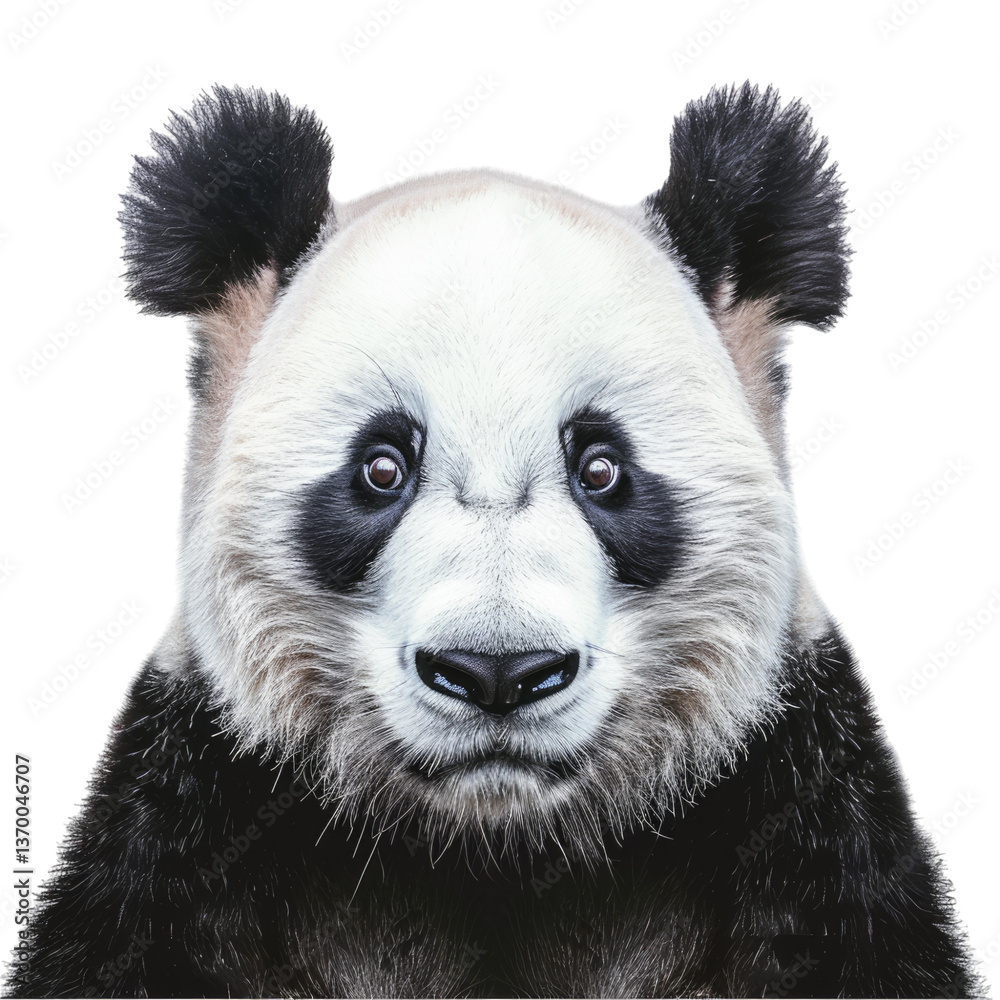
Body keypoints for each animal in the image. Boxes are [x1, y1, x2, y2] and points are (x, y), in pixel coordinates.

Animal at [4, 82, 980, 998]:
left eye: (601, 468)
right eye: (382, 468)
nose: (497, 673)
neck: (494, 846)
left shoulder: (797, 807)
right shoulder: (199, 811)